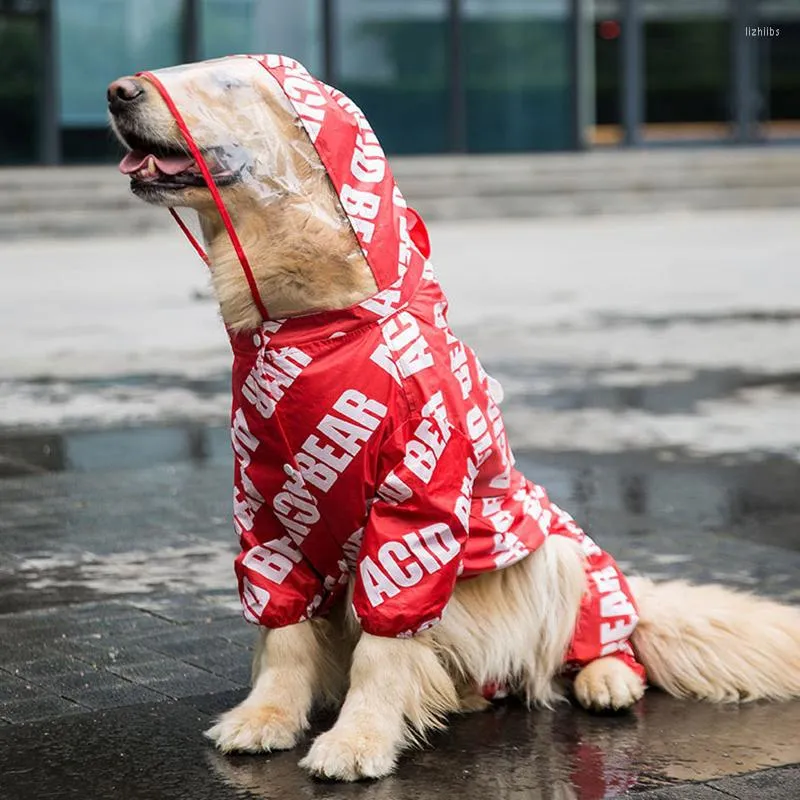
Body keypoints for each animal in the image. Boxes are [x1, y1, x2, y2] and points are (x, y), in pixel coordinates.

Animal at [108, 57, 800, 780]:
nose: (117, 92)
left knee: (607, 631)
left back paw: (606, 676)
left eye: (229, 83)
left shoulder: (417, 502)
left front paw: (358, 740)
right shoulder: (266, 502)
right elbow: (284, 631)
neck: (312, 331)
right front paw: (265, 717)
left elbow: (384, 642)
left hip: (562, 556)